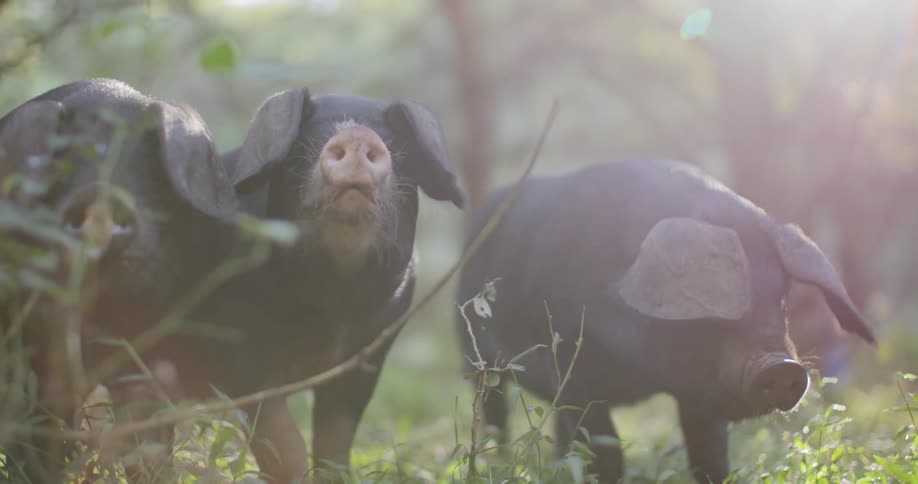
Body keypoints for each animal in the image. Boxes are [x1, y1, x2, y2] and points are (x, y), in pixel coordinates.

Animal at [214, 87, 464, 482]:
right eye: (303, 148)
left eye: (399, 152)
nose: (356, 134)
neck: (335, 294)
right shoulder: (235, 349)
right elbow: (282, 437)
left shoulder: (369, 354)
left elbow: (335, 439)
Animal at [457, 159, 875, 483]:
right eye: (709, 317)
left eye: (781, 304)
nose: (783, 366)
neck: (642, 376)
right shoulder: (574, 371)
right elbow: (605, 451)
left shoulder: (698, 393)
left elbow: (709, 456)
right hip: (471, 350)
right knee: (492, 410)